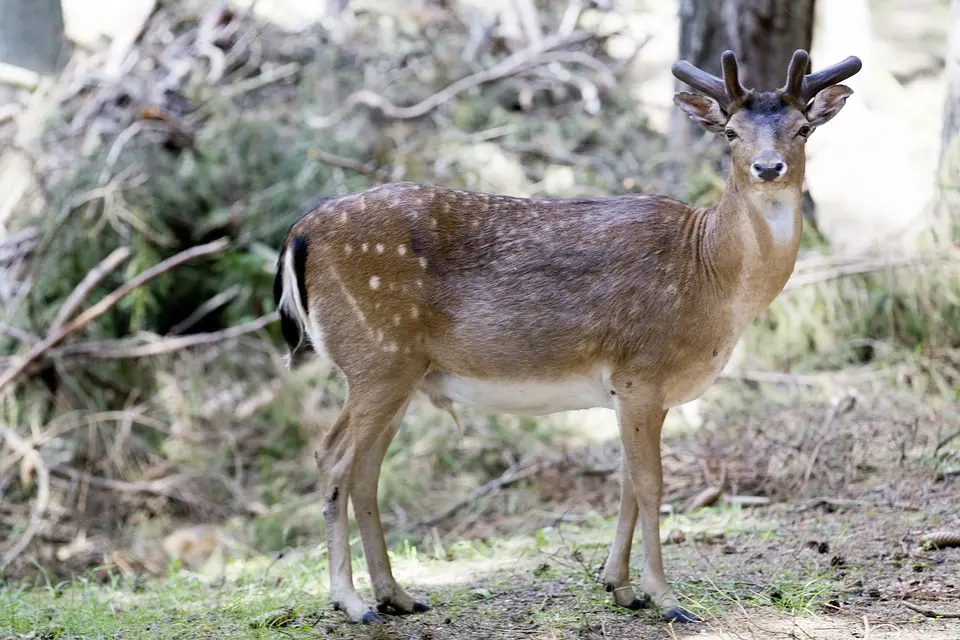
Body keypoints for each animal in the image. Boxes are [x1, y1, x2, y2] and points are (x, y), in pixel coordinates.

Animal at [272, 48, 864, 624]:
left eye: (802, 129)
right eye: (732, 133)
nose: (768, 167)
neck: (711, 276)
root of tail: (298, 235)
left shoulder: (634, 391)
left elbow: (625, 481)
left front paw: (619, 587)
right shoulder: (641, 371)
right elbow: (651, 484)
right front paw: (665, 598)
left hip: (400, 371)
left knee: (365, 469)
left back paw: (396, 596)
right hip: (377, 356)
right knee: (333, 459)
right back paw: (350, 603)